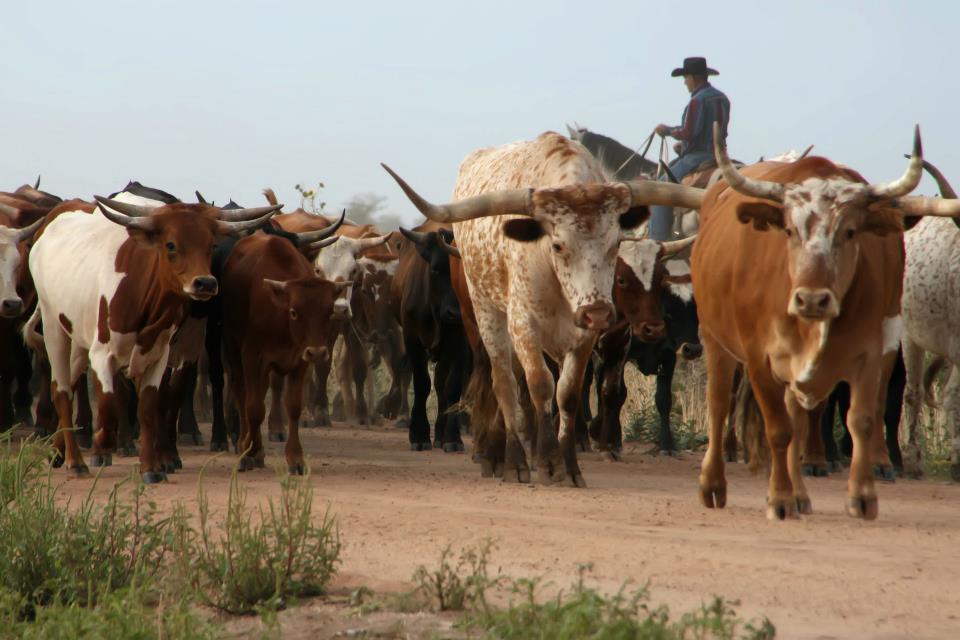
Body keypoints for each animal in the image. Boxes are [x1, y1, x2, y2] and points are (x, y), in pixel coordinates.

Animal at [25, 190, 279, 482]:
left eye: (211, 244)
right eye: (170, 245)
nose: (205, 283)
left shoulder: (161, 355)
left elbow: (148, 408)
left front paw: (151, 468)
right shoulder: (103, 354)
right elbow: (109, 404)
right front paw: (103, 445)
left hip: (78, 337)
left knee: (70, 378)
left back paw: (58, 452)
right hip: (53, 327)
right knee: (62, 390)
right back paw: (75, 461)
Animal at [219, 231, 348, 473]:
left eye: (328, 312)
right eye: (294, 312)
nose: (318, 353)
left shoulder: (300, 360)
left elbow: (293, 407)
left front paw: (295, 458)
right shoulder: (252, 357)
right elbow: (253, 408)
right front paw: (248, 452)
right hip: (233, 351)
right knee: (242, 396)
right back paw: (245, 446)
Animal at [383, 131, 702, 486]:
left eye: (616, 243)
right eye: (558, 244)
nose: (598, 312)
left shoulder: (586, 338)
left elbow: (569, 394)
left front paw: (570, 465)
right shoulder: (524, 326)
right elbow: (539, 385)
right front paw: (547, 462)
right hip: (483, 317)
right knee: (502, 382)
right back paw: (502, 459)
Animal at [691, 122, 960, 520]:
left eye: (850, 232)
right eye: (788, 231)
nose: (812, 299)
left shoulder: (873, 352)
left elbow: (861, 419)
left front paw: (862, 496)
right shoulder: (759, 359)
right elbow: (778, 430)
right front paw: (779, 499)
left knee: (801, 420)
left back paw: (802, 494)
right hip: (714, 339)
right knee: (719, 402)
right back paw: (713, 485)